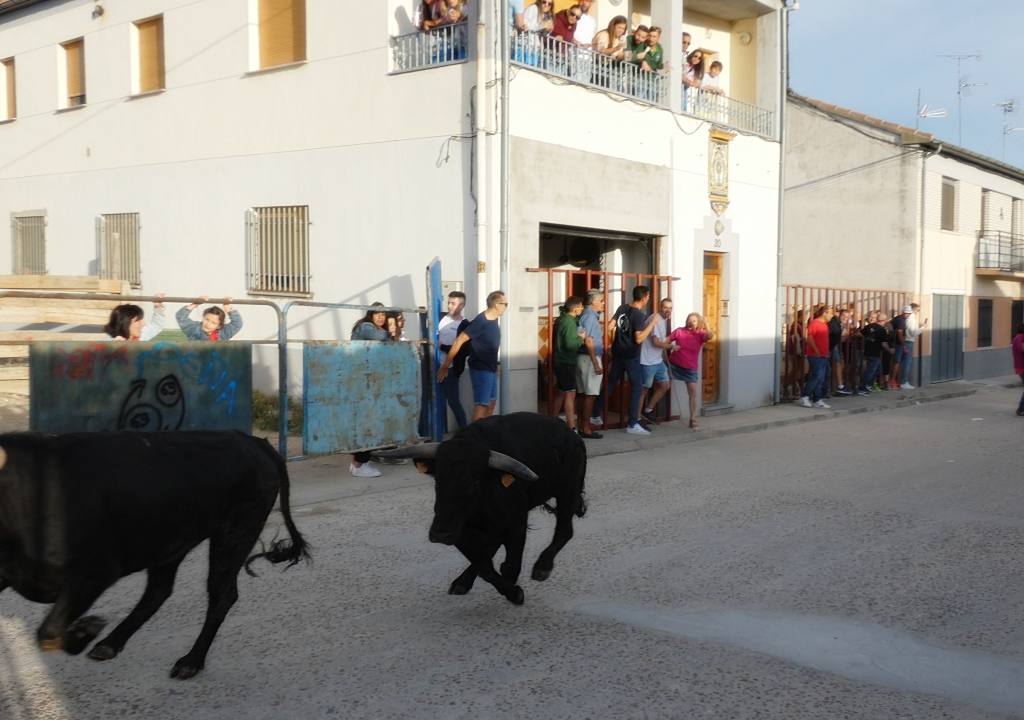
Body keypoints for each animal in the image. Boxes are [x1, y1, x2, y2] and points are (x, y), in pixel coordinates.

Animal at [0, 430, 309, 680]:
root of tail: (255, 442)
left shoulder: (95, 572)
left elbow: (48, 632)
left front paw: (84, 631)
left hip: (236, 533)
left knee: (221, 595)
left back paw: (190, 662)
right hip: (170, 542)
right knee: (159, 591)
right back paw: (110, 644)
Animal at [376, 413, 589, 606]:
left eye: (475, 483)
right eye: (438, 480)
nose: (440, 534)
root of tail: (571, 433)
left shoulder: (516, 525)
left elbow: (509, 565)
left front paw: (514, 593)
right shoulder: (460, 533)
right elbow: (484, 563)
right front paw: (506, 589)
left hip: (568, 492)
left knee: (564, 531)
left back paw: (542, 567)